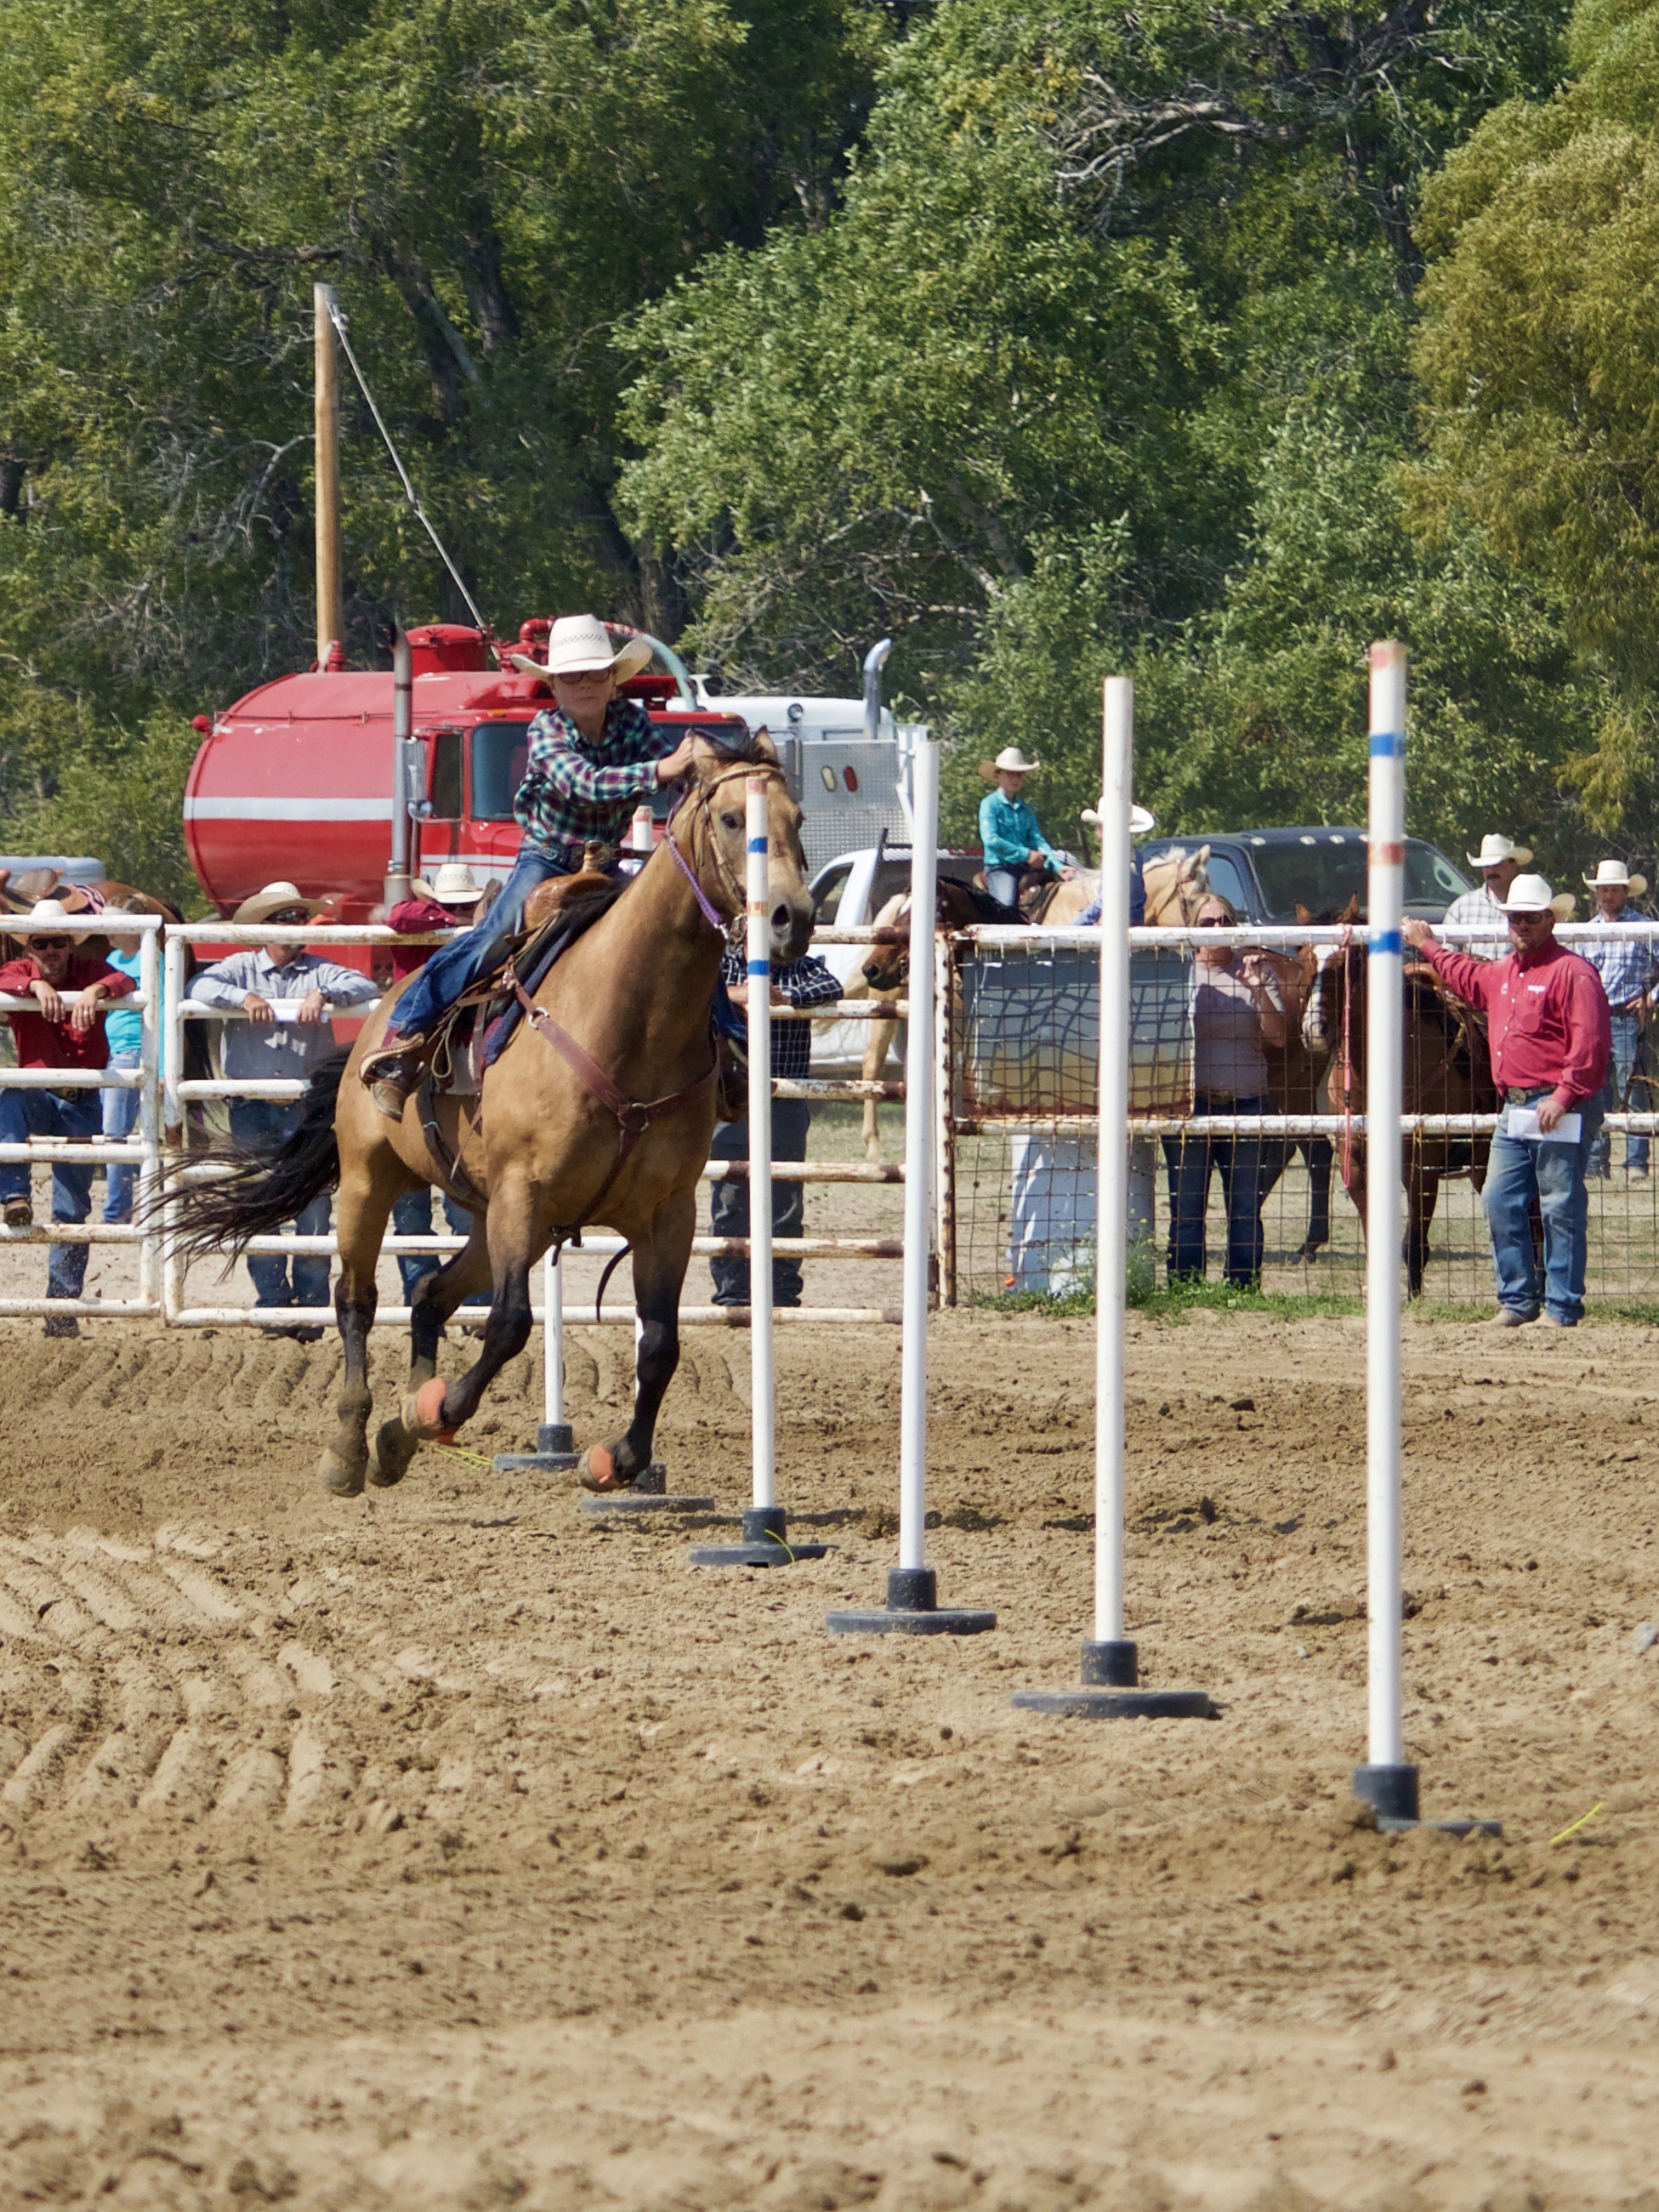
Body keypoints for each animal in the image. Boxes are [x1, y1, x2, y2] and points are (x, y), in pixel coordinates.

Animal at [162, 742, 814, 1504]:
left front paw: (618, 1460)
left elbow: (659, 1343)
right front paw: (435, 1411)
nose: (792, 918)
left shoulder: (666, 1213)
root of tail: (372, 1023)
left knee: (429, 1295)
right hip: (374, 1181)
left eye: (797, 818)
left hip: (496, 1219)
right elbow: (508, 1324)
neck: (631, 1022)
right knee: (357, 1299)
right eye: (734, 818)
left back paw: (396, 1434)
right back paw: (351, 1445)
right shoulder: (522, 1191)